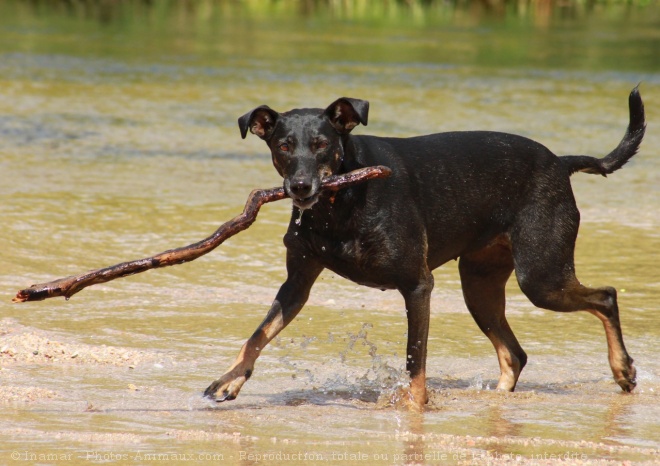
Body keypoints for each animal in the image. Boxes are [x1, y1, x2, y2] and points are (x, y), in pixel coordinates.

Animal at [205, 87, 644, 408]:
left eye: (320, 144)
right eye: (282, 146)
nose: (299, 187)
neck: (341, 201)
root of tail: (560, 162)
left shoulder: (417, 285)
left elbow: (415, 358)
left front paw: (415, 408)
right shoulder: (297, 282)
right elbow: (258, 334)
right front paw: (229, 381)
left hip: (540, 276)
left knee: (605, 297)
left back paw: (622, 370)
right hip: (480, 286)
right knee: (514, 354)